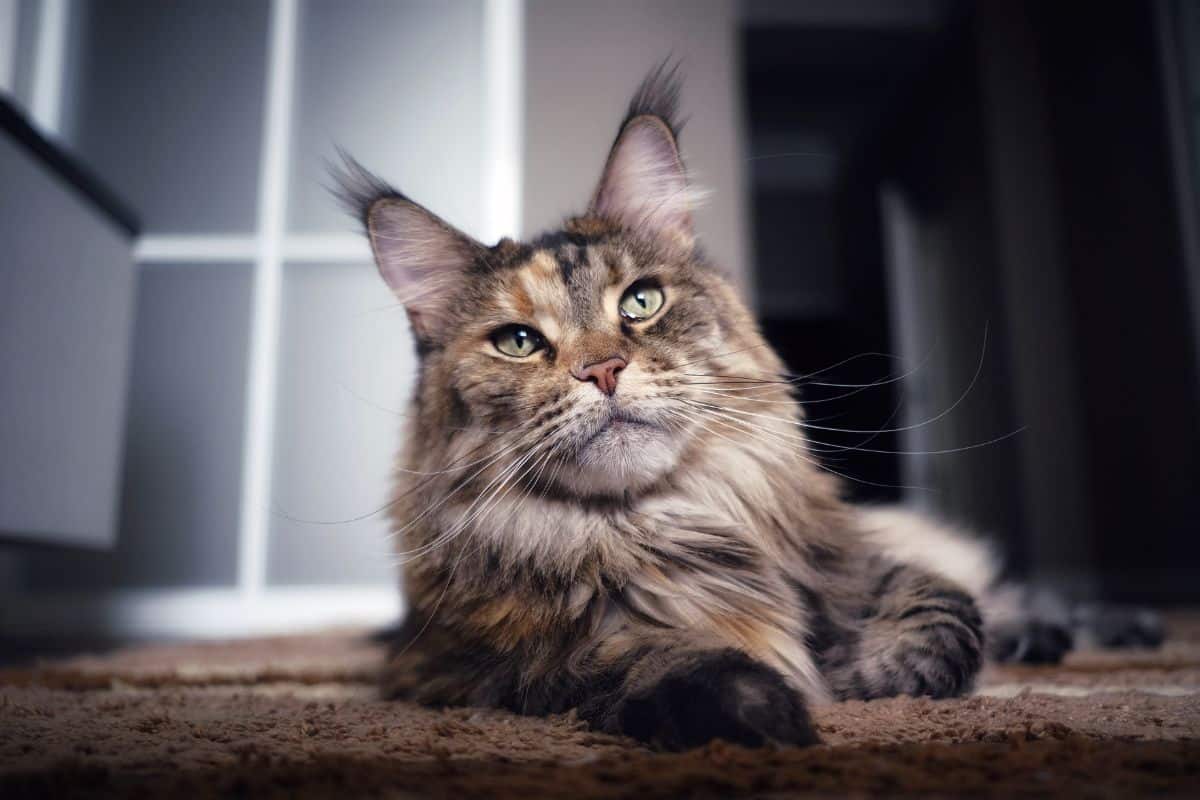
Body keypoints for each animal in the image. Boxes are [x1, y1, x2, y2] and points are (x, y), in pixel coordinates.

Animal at [333, 62, 1156, 753]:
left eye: (641, 302)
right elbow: (632, 661)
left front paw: (860, 673)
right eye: (519, 342)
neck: (657, 523)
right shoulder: (471, 666)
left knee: (999, 586)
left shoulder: (853, 558)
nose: (602, 369)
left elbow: (943, 613)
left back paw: (1101, 626)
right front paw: (762, 708)